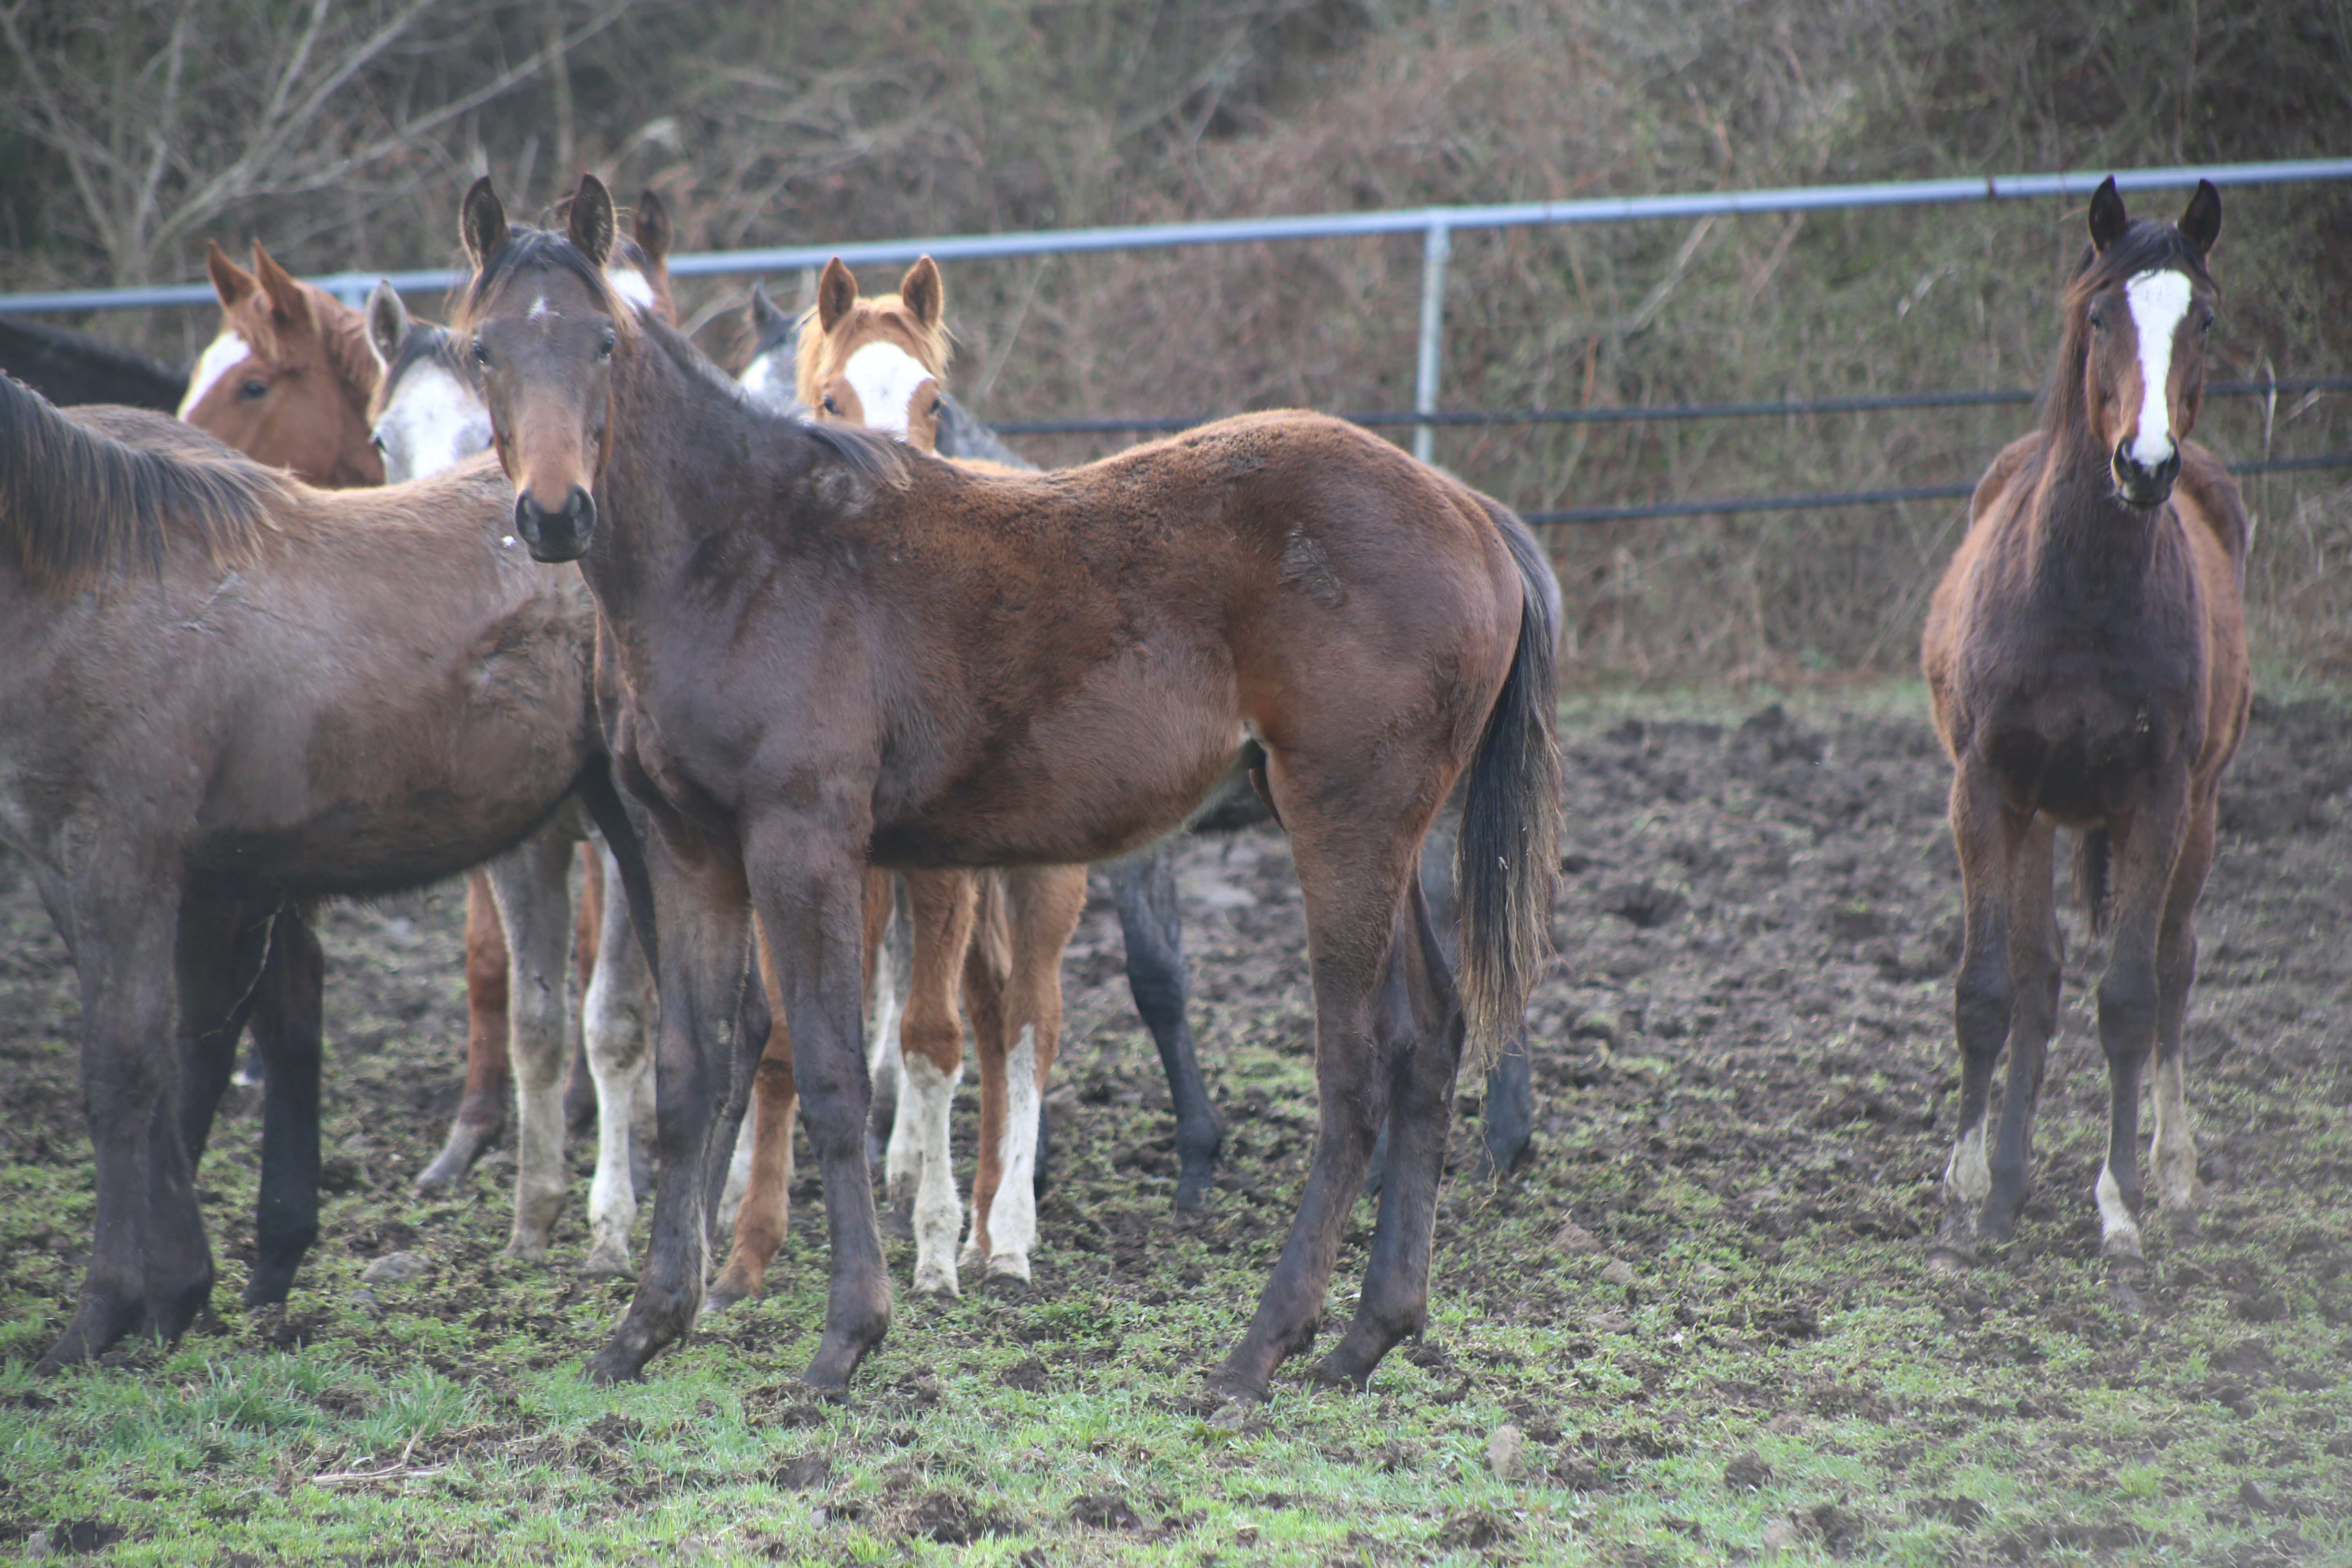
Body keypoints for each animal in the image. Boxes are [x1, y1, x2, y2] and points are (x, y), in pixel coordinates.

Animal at [0, 371, 654, 1373]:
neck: (76, 577)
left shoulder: (121, 851)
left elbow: (124, 1068)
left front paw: (102, 1315)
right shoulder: (70, 859)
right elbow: (164, 1055)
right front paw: (175, 1293)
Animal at [456, 177, 1561, 1401]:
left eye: (603, 343)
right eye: (482, 350)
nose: (555, 513)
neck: (745, 553)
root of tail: (1469, 514)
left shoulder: (804, 843)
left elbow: (836, 1072)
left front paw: (848, 1337)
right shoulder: (687, 852)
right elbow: (691, 1075)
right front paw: (647, 1324)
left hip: (1344, 829)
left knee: (1358, 1068)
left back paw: (1261, 1346)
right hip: (1389, 835)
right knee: (1430, 1042)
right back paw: (1370, 1332)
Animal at [1919, 177, 2248, 1278]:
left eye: (2201, 319)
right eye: (2101, 315)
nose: (2143, 464)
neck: (2079, 591)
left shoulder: (2155, 799)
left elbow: (2129, 1000)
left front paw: (2118, 1206)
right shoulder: (1985, 789)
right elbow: (1992, 990)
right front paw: (1971, 1194)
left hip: (2198, 813)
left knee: (2175, 967)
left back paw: (2175, 1172)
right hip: (2035, 817)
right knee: (2038, 977)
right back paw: (2007, 1179)